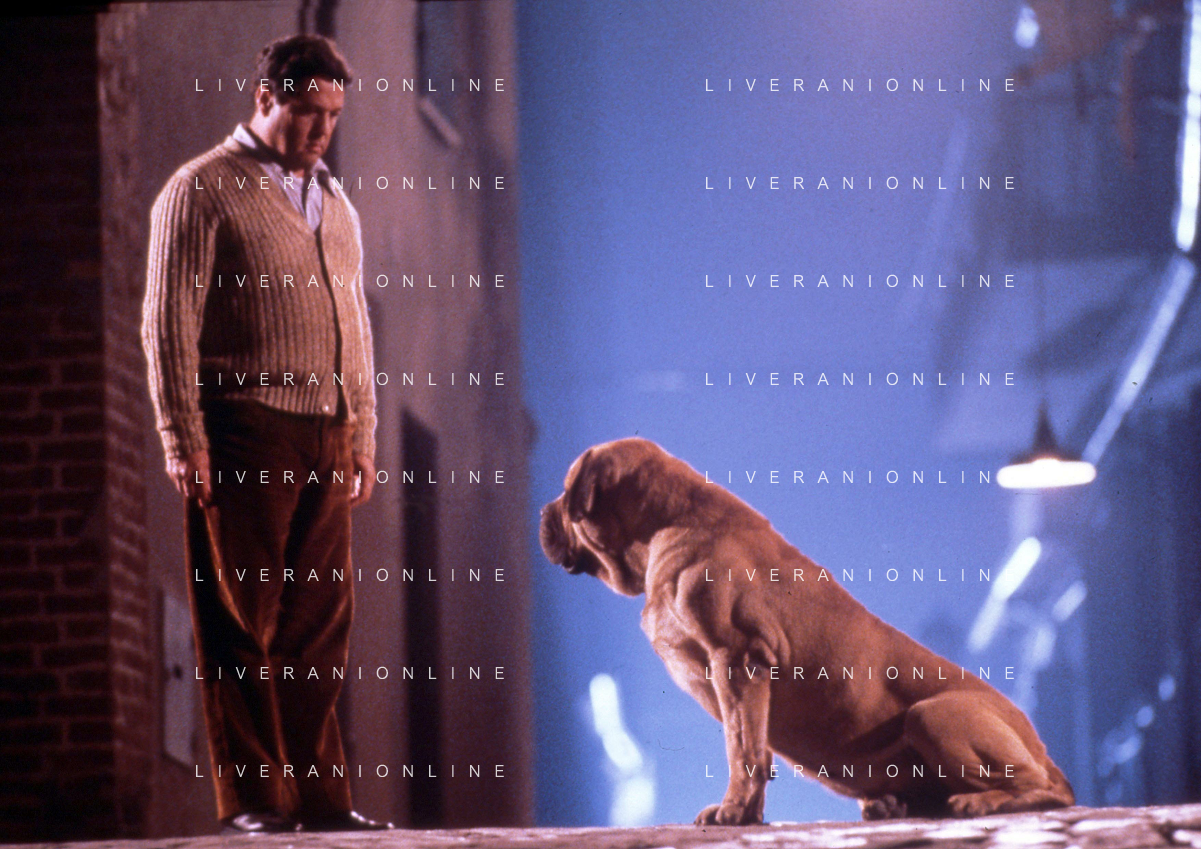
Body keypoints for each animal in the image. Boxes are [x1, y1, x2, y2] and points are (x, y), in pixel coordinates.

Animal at [539, 438, 1074, 824]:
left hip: (934, 715)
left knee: (1045, 790)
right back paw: (894, 805)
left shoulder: (737, 662)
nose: (542, 514)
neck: (666, 523)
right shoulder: (743, 683)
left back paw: (981, 802)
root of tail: (1045, 751)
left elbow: (742, 750)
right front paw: (748, 814)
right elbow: (754, 748)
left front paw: (734, 810)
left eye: (565, 492)